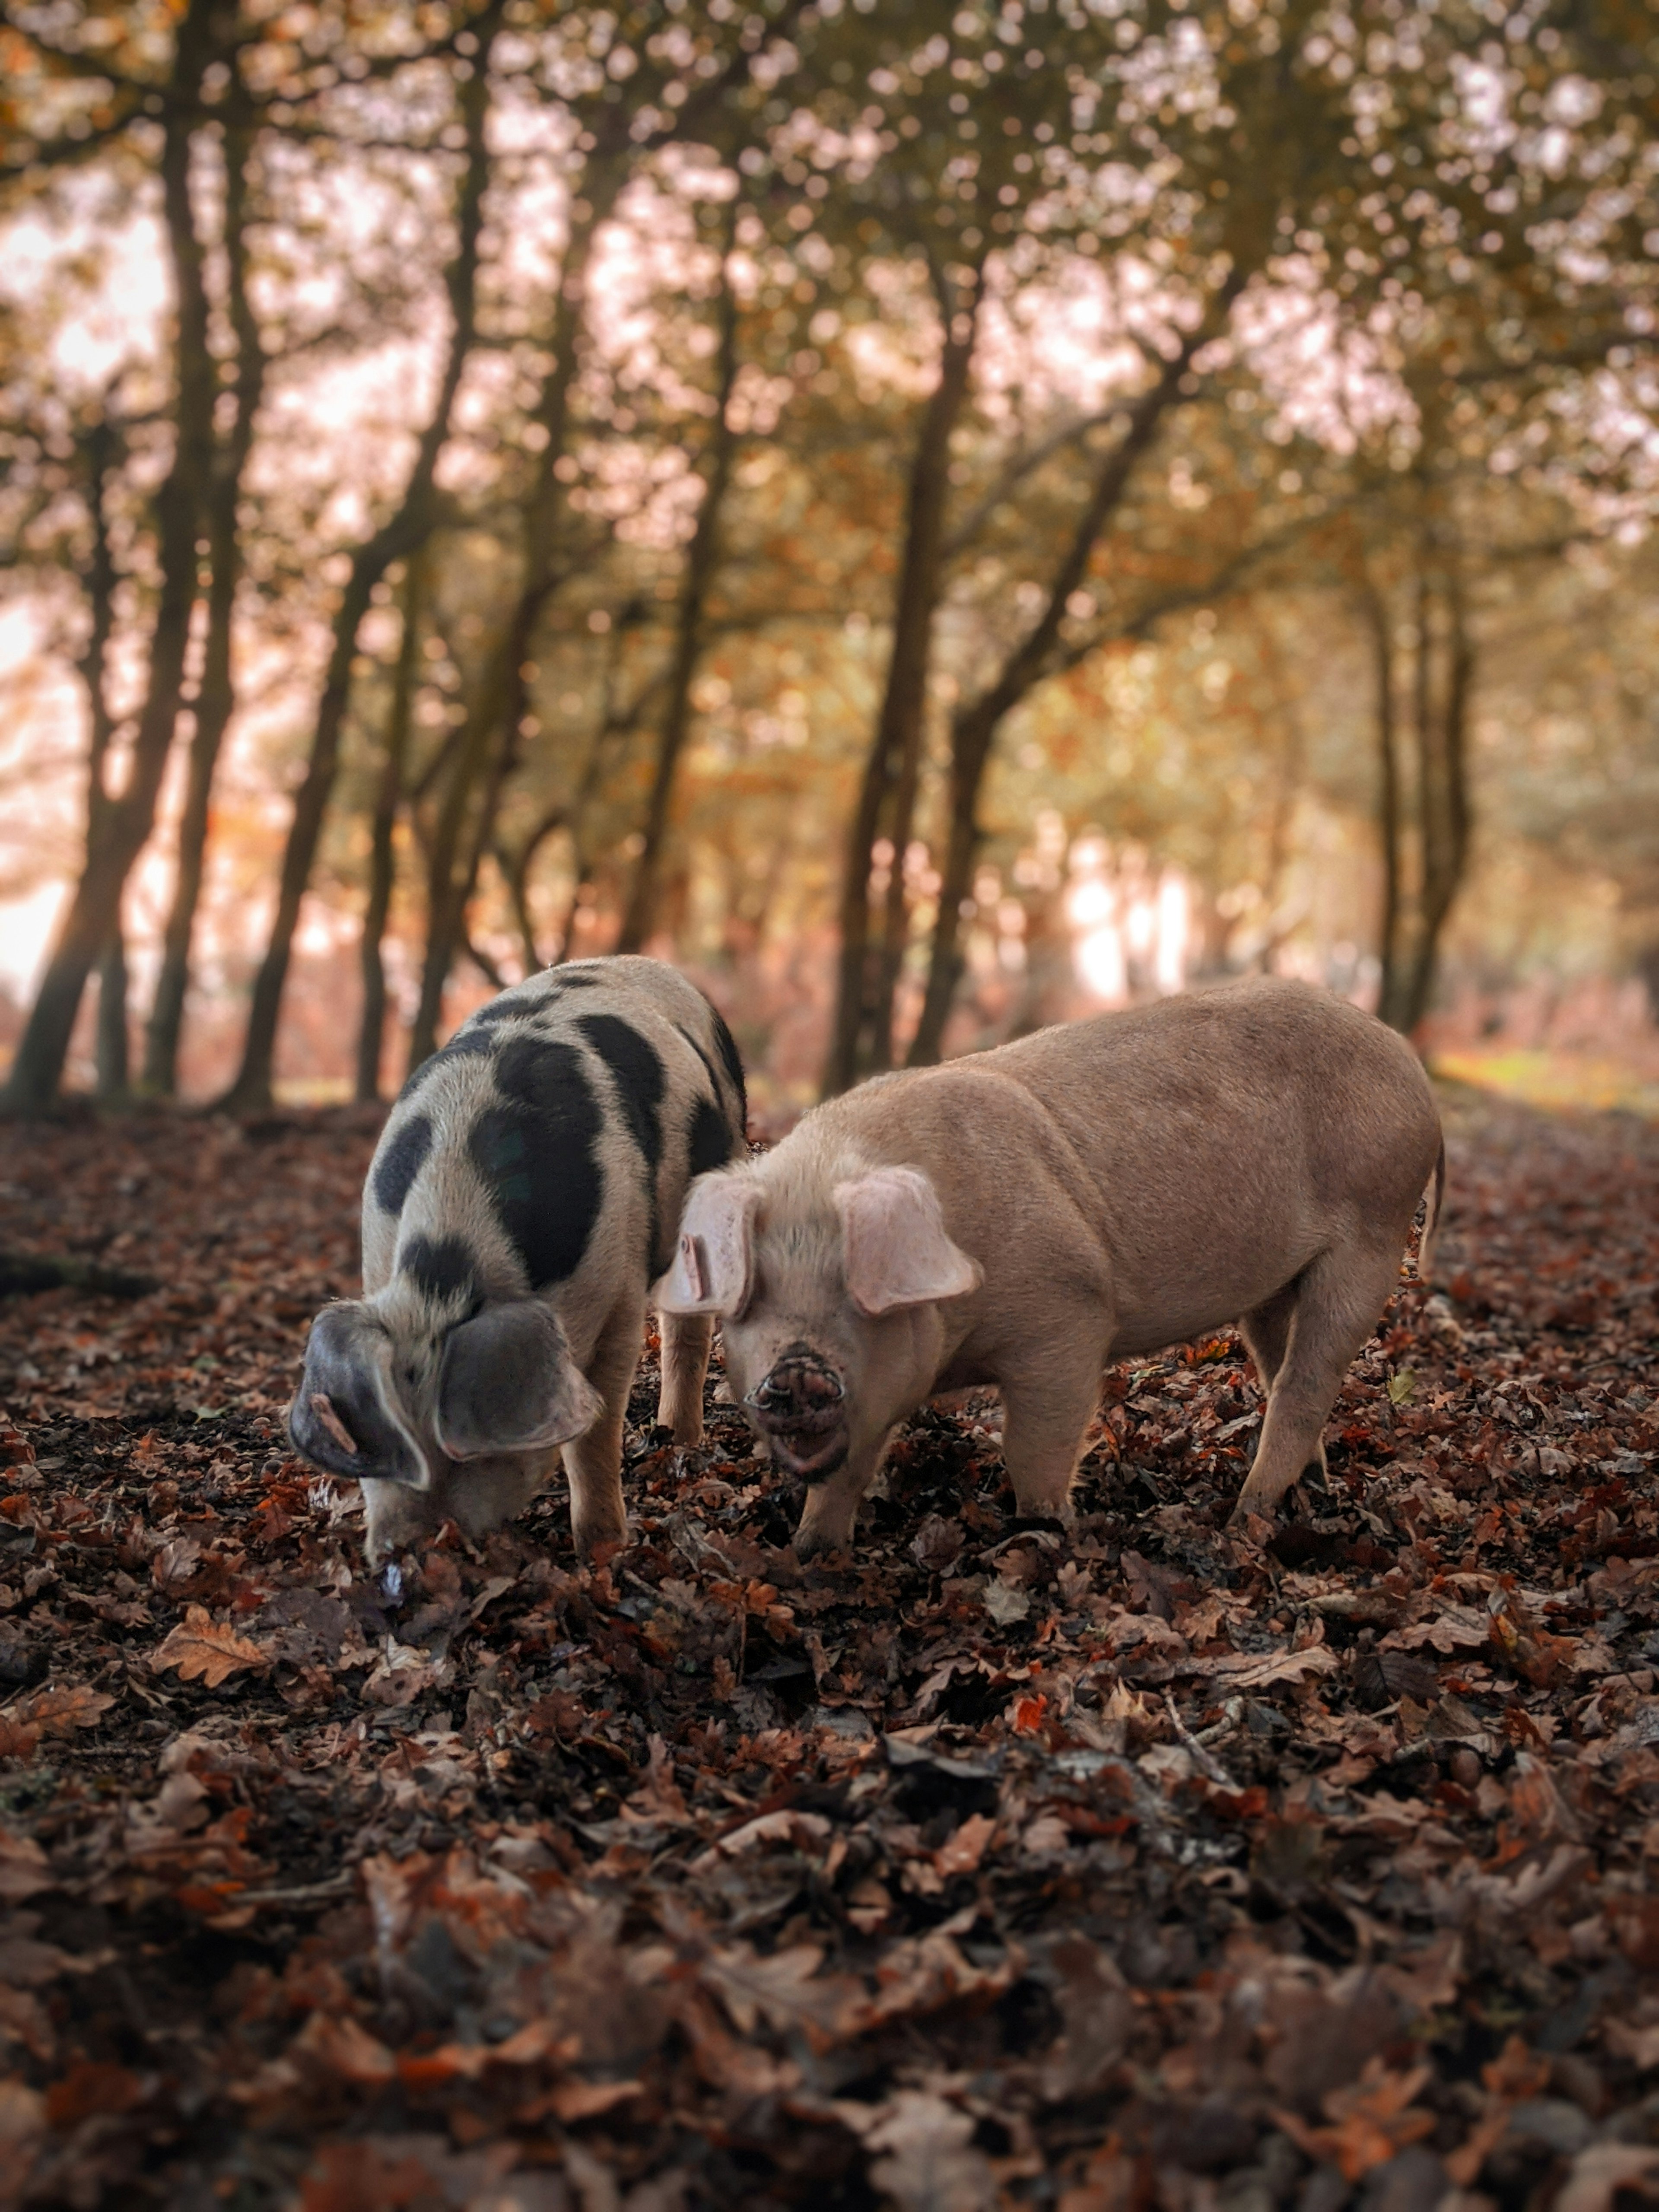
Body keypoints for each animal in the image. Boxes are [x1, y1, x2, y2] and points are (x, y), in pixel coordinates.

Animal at [289, 960, 747, 1566]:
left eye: (468, 1449)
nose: (406, 1551)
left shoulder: (620, 1286)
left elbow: (595, 1431)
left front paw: (603, 1550)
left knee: (687, 1329)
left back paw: (682, 1438)